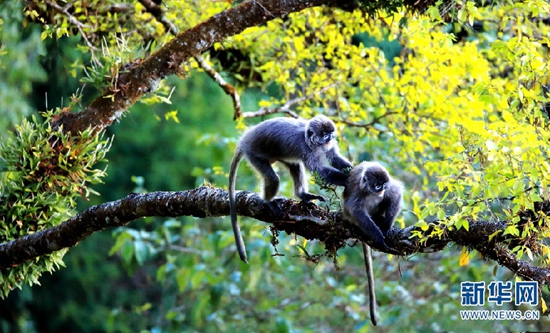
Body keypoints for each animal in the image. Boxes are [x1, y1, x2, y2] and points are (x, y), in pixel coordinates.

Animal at [229, 114, 354, 262]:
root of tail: (245, 139)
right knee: (274, 179)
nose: (330, 138)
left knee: (295, 165)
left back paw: (302, 195)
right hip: (253, 154)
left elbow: (334, 158)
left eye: (330, 133)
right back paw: (269, 201)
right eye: (324, 135)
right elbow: (320, 171)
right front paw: (348, 181)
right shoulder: (304, 149)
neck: (308, 140)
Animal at [344, 161, 406, 324]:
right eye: (377, 185)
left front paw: (385, 227)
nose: (382, 189)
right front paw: (378, 235)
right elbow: (355, 211)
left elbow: (396, 193)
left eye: (384, 185)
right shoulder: (358, 192)